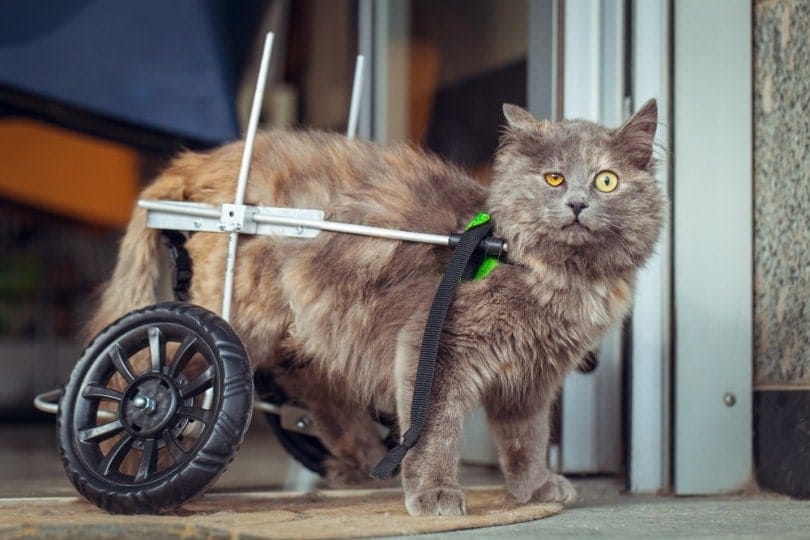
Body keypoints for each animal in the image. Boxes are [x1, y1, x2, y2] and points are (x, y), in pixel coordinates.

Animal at [90, 99, 664, 516]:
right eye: (553, 179)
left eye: (606, 180)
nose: (577, 204)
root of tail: (208, 160)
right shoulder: (437, 347)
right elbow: (434, 431)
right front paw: (433, 494)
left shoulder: (530, 379)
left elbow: (526, 438)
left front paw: (534, 488)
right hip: (228, 319)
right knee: (148, 375)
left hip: (309, 329)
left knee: (311, 394)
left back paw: (357, 464)